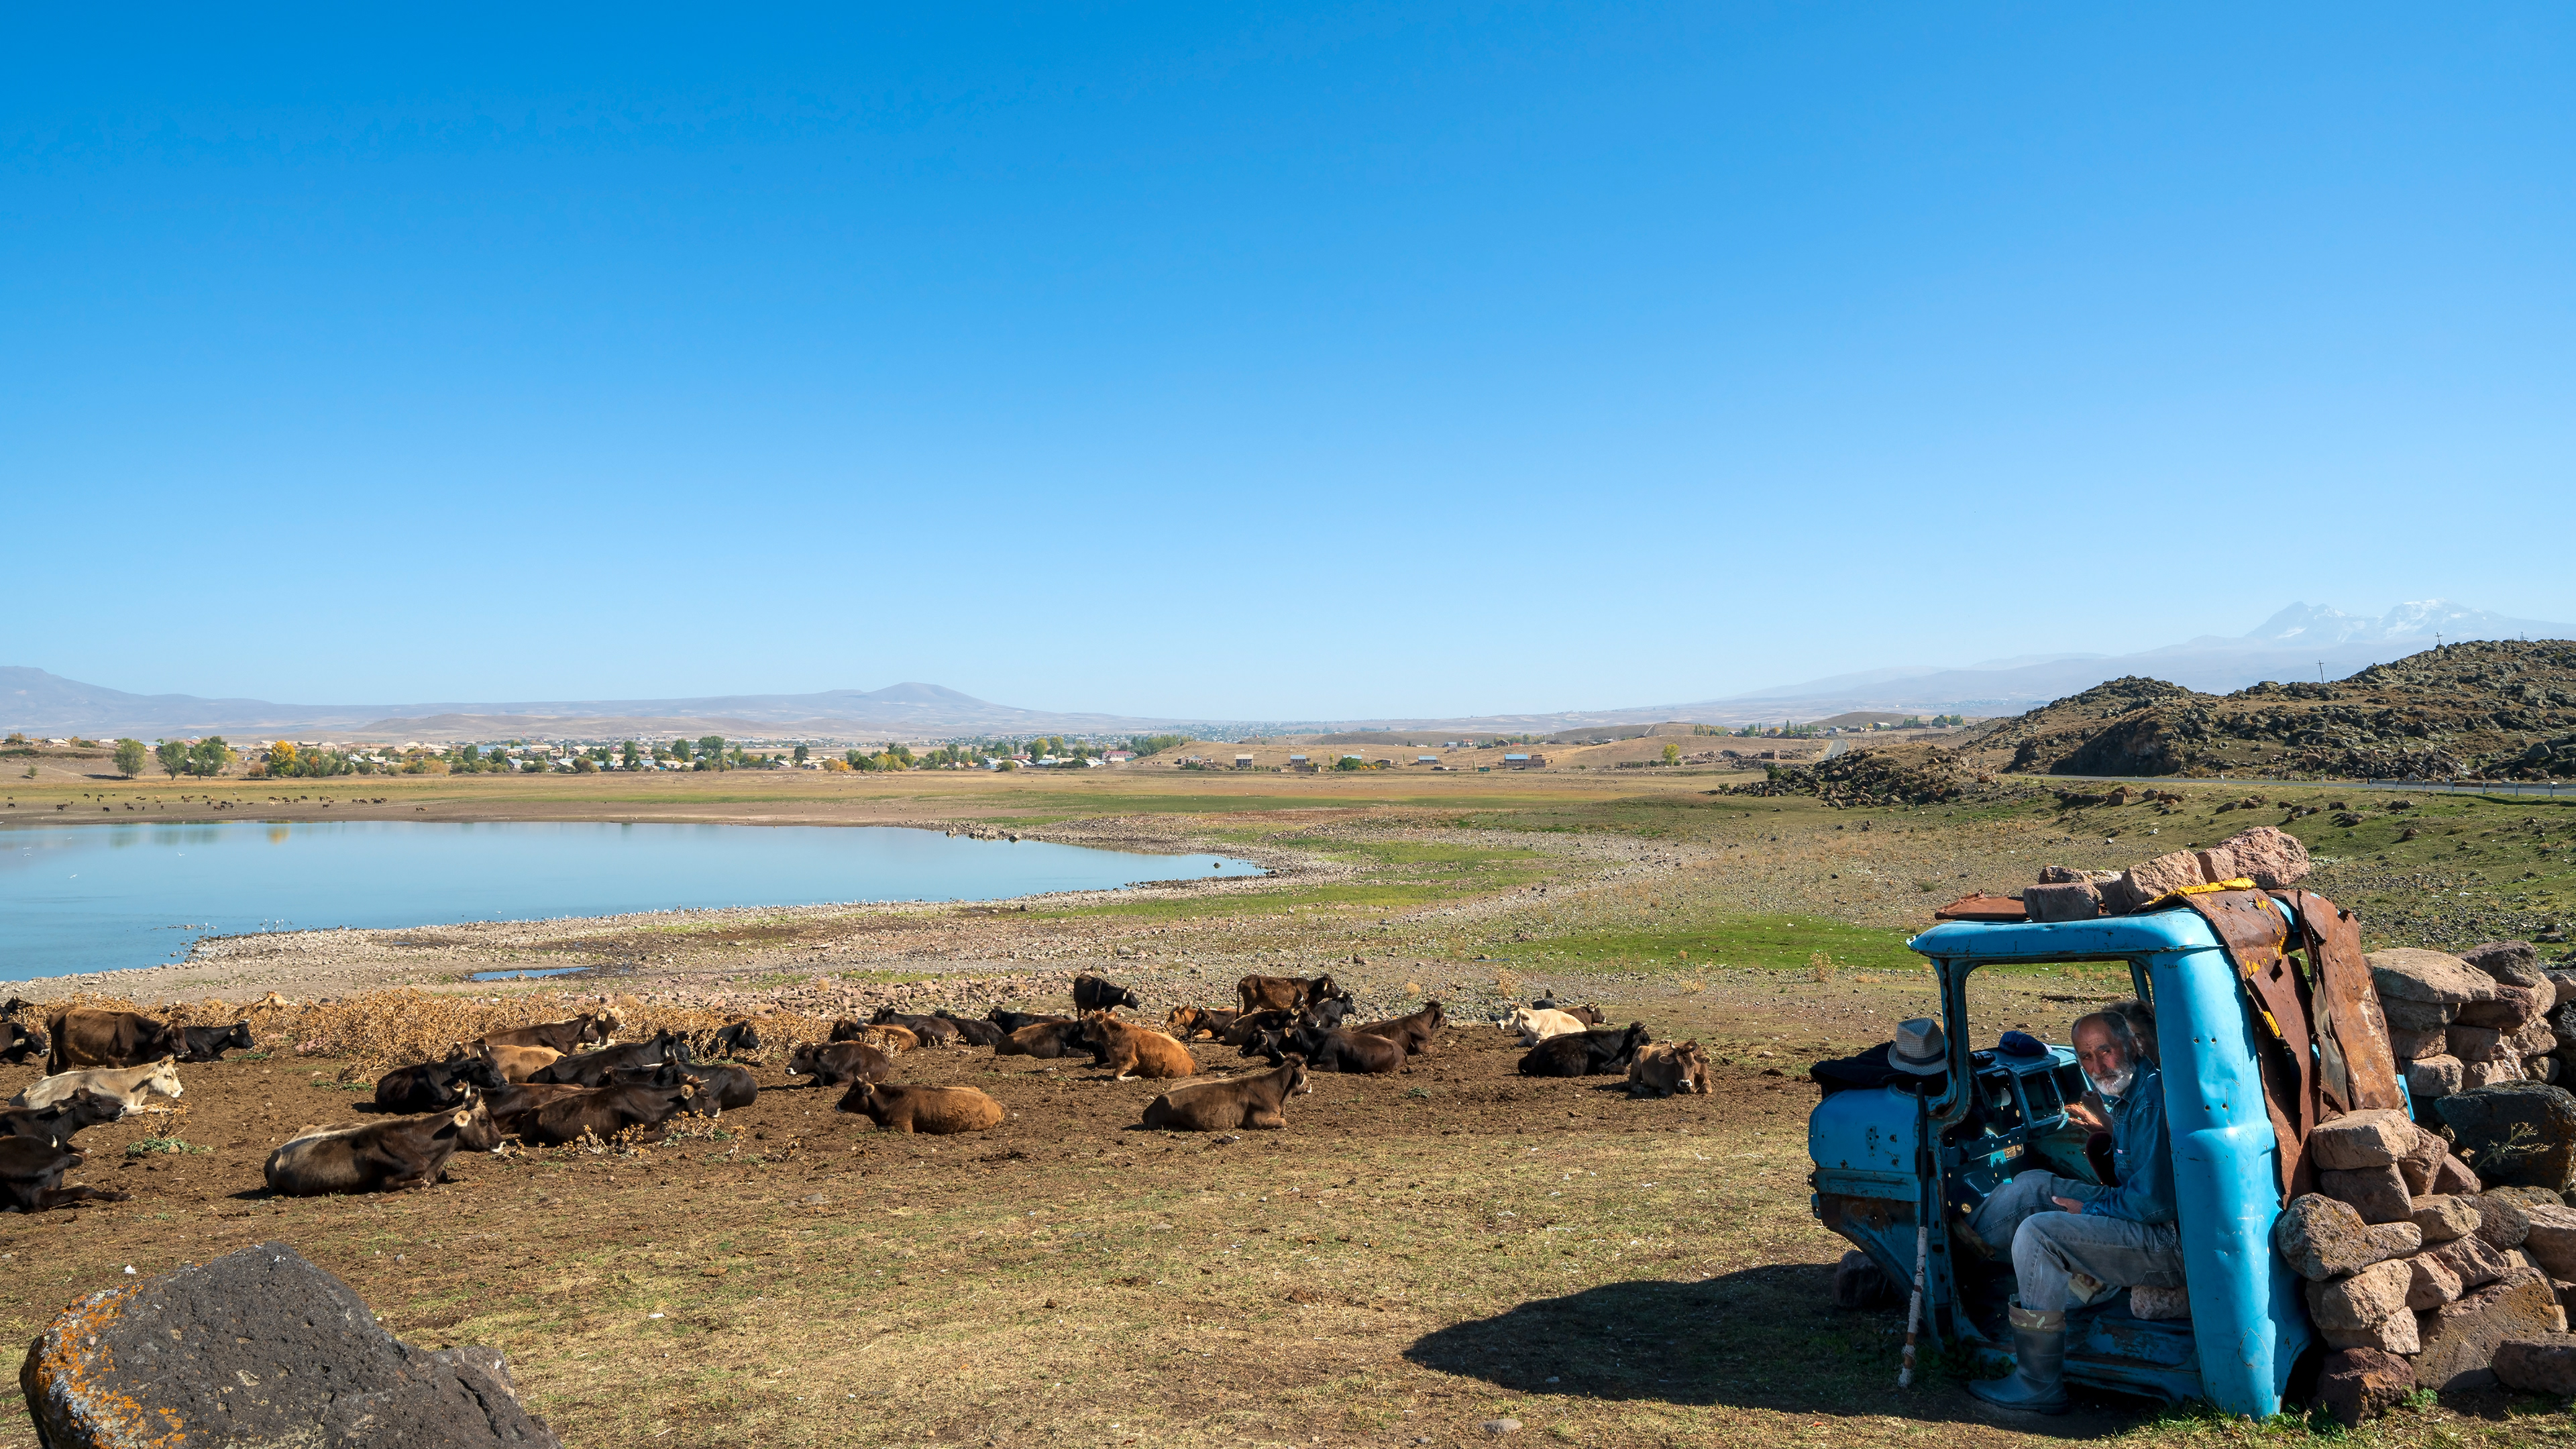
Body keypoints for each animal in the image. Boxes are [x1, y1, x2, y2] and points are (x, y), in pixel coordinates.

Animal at [45, 1009, 185, 1072]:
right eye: (173, 1036)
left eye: (183, 1035)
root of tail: (53, 1014)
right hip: (60, 1053)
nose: (186, 1052)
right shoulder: (111, 1058)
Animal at [1075, 1011, 1196, 1081]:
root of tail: (1191, 1062)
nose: (1083, 1036)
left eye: (1090, 1023)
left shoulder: (1131, 1060)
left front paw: (1135, 1078)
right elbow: (1103, 1066)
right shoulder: (1114, 1060)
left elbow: (1116, 1075)